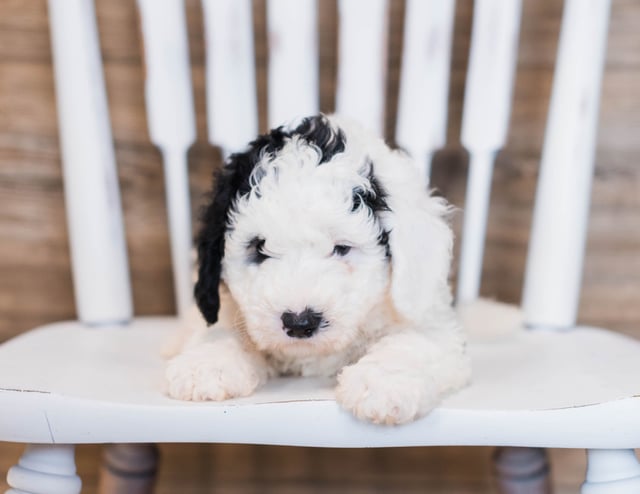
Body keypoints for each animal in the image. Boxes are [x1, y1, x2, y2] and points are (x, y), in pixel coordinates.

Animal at [162, 113, 468, 424]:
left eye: (341, 248)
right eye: (258, 248)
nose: (299, 323)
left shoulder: (431, 320)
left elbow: (414, 342)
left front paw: (383, 383)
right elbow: (223, 328)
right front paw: (206, 365)